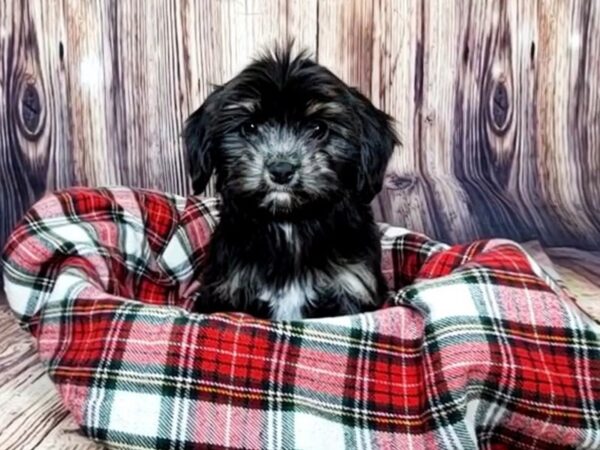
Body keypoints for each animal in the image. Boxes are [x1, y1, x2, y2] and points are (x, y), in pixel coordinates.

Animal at [185, 46, 396, 320]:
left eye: (318, 128)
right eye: (249, 127)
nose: (281, 170)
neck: (290, 224)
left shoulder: (352, 284)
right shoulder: (228, 288)